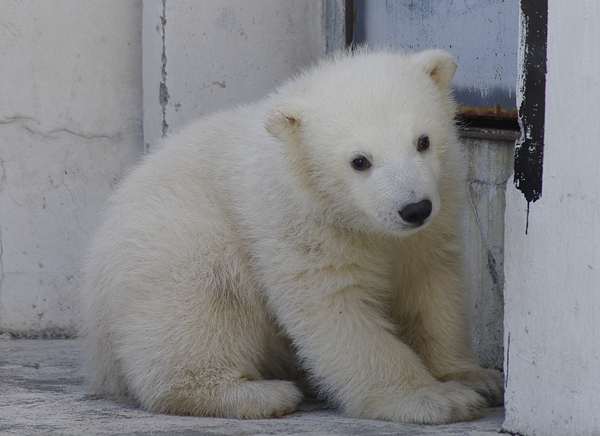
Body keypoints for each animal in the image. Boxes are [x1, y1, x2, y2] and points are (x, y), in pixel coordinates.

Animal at [78, 49, 502, 424]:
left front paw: (475, 378)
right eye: (359, 161)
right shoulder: (299, 222)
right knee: (203, 301)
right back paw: (259, 394)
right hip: (175, 235)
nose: (414, 208)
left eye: (423, 141)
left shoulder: (435, 219)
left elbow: (432, 289)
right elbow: (334, 308)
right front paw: (434, 399)